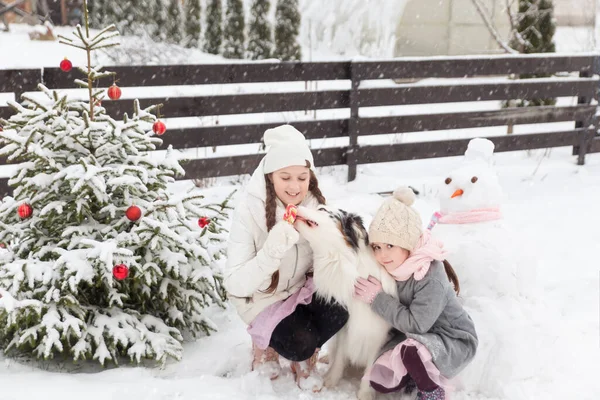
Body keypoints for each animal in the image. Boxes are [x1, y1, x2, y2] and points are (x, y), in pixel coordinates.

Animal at [296, 206, 398, 400]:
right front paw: (331, 380)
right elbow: (340, 356)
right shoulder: (345, 326)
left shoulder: (380, 335)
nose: (296, 207)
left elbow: (371, 366)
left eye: (321, 208)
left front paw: (365, 393)